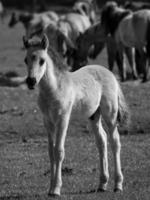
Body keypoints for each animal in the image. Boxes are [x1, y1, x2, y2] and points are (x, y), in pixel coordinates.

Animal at [22, 33, 129, 196]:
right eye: (25, 60)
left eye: (42, 60)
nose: (31, 81)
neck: (54, 89)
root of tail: (110, 73)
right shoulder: (48, 121)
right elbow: (51, 152)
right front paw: (50, 188)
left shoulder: (63, 119)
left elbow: (59, 151)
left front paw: (56, 189)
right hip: (94, 116)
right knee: (102, 140)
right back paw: (102, 184)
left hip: (110, 114)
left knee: (115, 141)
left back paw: (118, 185)